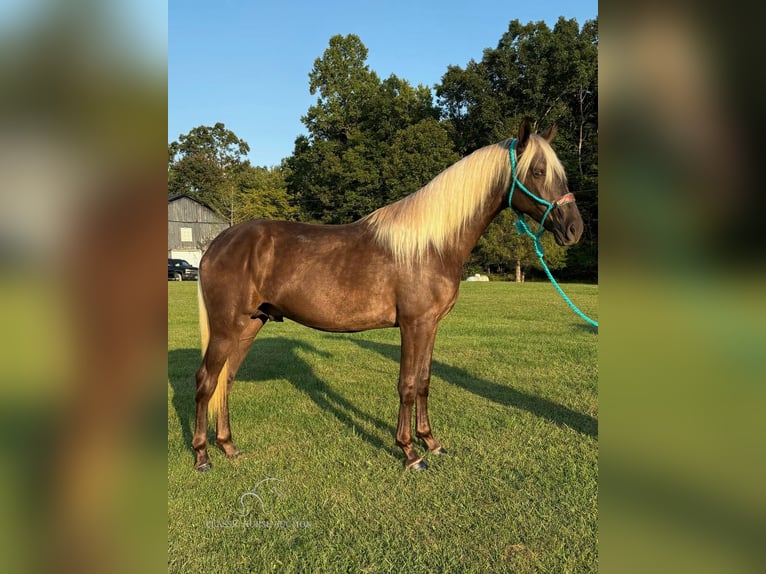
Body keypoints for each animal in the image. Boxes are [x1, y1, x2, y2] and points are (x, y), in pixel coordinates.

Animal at [195, 120, 584, 472]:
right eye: (537, 171)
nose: (574, 229)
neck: (431, 244)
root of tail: (219, 243)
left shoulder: (431, 326)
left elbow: (425, 381)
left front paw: (432, 443)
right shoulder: (413, 325)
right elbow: (407, 385)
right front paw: (410, 452)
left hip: (250, 324)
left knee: (226, 381)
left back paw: (228, 447)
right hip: (226, 329)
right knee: (206, 381)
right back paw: (202, 456)